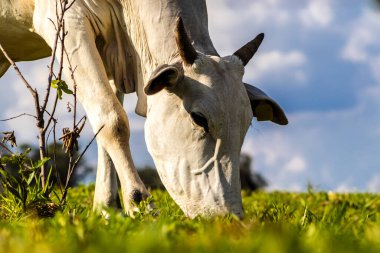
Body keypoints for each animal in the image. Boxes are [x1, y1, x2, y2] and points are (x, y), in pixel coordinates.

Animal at [0, 0, 288, 217]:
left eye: (246, 126)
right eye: (198, 118)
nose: (230, 218)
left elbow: (104, 121)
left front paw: (107, 208)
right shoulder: (67, 22)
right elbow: (113, 119)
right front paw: (140, 205)